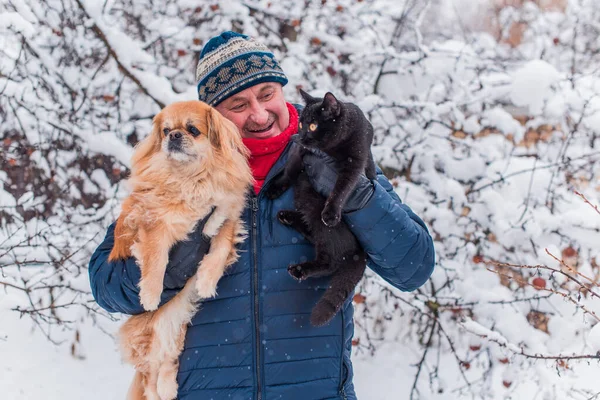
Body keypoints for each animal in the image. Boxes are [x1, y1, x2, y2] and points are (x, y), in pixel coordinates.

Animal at [108, 100, 253, 400]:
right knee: (150, 372)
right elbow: (157, 262)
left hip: (177, 325)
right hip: (154, 329)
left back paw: (168, 386)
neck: (190, 178)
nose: (174, 136)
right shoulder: (155, 227)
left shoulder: (226, 217)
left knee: (165, 363)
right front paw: (150, 295)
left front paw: (207, 281)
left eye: (192, 130)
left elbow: (219, 247)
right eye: (165, 131)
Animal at [266, 91, 376, 328]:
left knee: (330, 261)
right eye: (301, 123)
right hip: (309, 207)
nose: (302, 135)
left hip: (329, 231)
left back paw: (299, 269)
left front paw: (331, 212)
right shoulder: (301, 153)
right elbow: (290, 171)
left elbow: (342, 188)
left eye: (314, 125)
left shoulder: (354, 161)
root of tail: (360, 253)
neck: (328, 149)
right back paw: (286, 216)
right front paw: (274, 189)